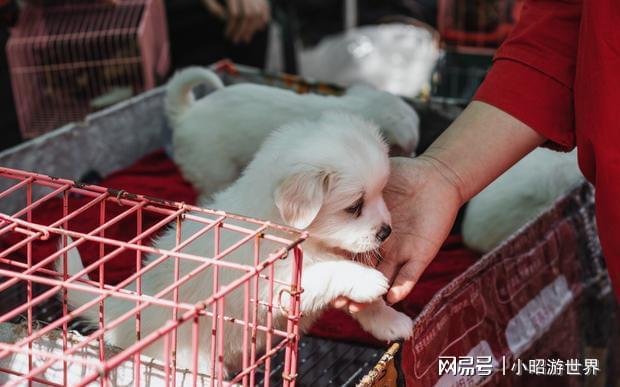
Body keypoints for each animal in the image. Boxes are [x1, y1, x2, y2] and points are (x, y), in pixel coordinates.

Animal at [61, 110, 412, 378]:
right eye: (354, 206)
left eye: (381, 192)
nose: (387, 231)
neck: (288, 230)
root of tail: (123, 308)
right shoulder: (275, 285)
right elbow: (332, 271)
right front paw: (368, 281)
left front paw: (391, 322)